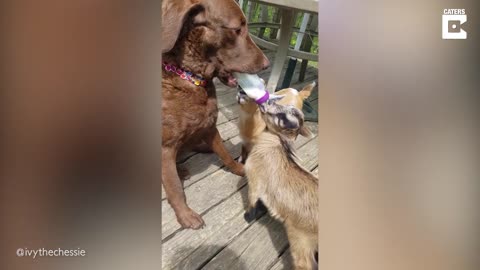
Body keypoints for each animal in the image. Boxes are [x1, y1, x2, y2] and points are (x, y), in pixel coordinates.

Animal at [159, 0, 268, 230]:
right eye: (237, 29)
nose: (266, 64)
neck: (190, 78)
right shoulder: (165, 147)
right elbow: (174, 188)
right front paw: (186, 215)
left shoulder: (210, 127)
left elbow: (225, 154)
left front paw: (240, 168)